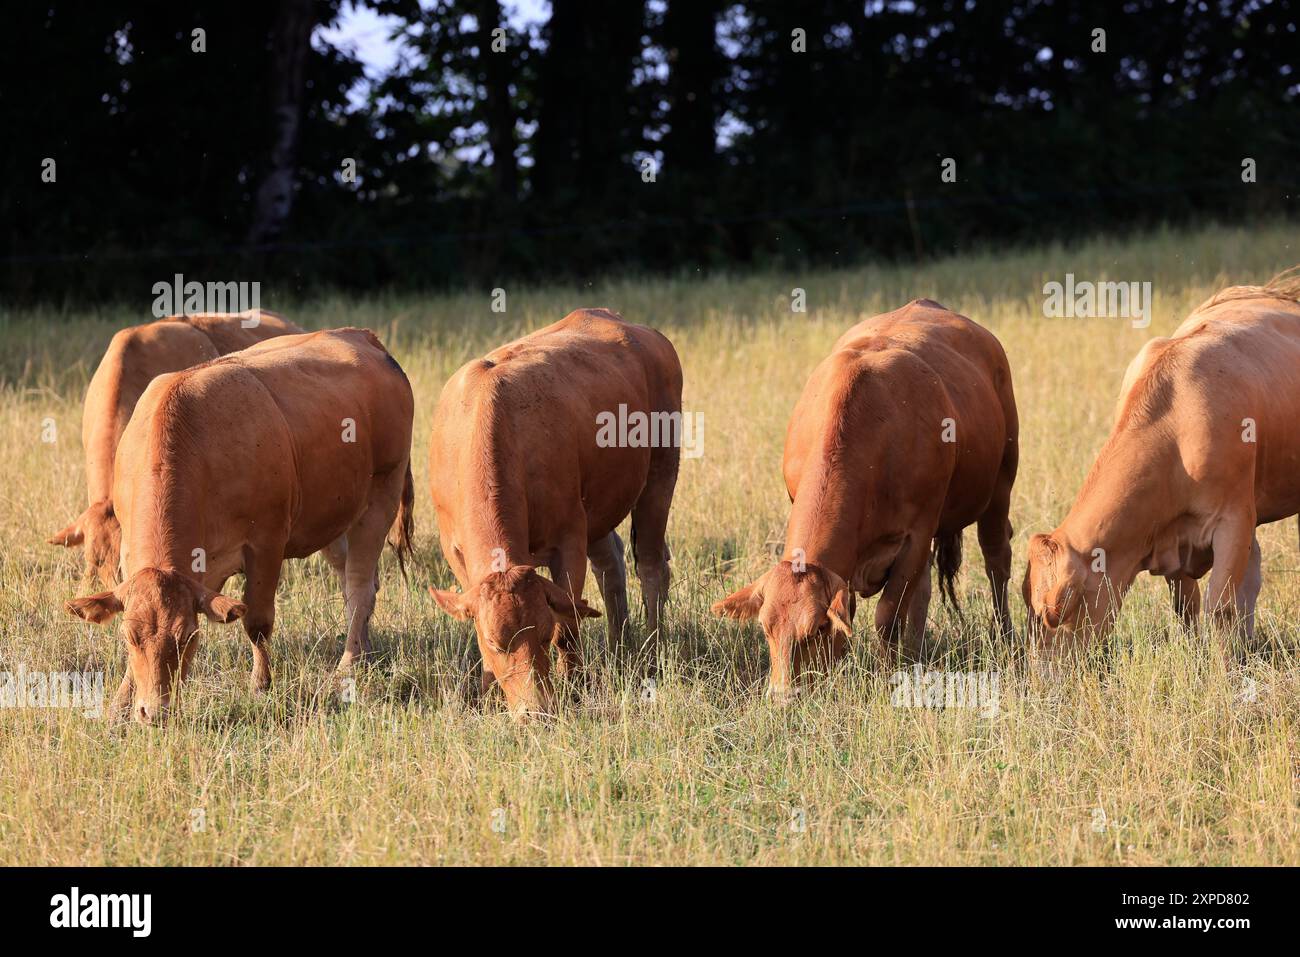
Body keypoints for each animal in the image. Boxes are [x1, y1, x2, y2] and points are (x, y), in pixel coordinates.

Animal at [63, 328, 413, 722]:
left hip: (381, 497)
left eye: (188, 637)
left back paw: (349, 664)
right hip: (334, 520)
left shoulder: (266, 544)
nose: (155, 712)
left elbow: (257, 622)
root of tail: (362, 336)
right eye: (130, 637)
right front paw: (121, 703)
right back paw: (365, 650)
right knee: (357, 581)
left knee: (359, 587)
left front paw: (260, 686)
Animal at [428, 310, 691, 712]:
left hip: (660, 476)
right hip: (600, 508)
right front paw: (487, 692)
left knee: (650, 564)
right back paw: (619, 645)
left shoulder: (568, 538)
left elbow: (568, 624)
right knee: (610, 562)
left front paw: (577, 686)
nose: (534, 710)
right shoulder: (455, 552)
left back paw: (652, 649)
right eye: (494, 643)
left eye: (541, 633)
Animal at [712, 299, 1013, 696]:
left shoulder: (917, 533)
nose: (784, 697)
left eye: (817, 629)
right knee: (923, 592)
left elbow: (888, 615)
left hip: (1000, 488)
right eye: (766, 628)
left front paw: (886, 674)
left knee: (997, 562)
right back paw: (915, 654)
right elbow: (863, 606)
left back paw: (1006, 636)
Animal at [1019, 273, 1300, 655]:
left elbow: (1221, 606)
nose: (1040, 670)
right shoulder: (1172, 533)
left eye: (1056, 613)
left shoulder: (1235, 519)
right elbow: (1187, 605)